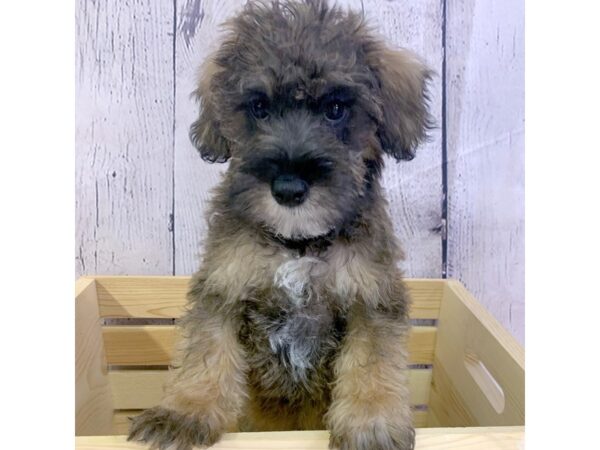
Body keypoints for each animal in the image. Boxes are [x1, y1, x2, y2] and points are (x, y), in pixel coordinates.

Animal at [130, 0, 432, 450]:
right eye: (259, 107)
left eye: (336, 109)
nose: (289, 188)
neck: (297, 244)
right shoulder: (224, 289)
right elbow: (206, 353)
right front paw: (183, 414)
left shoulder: (371, 299)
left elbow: (372, 362)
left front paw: (371, 423)